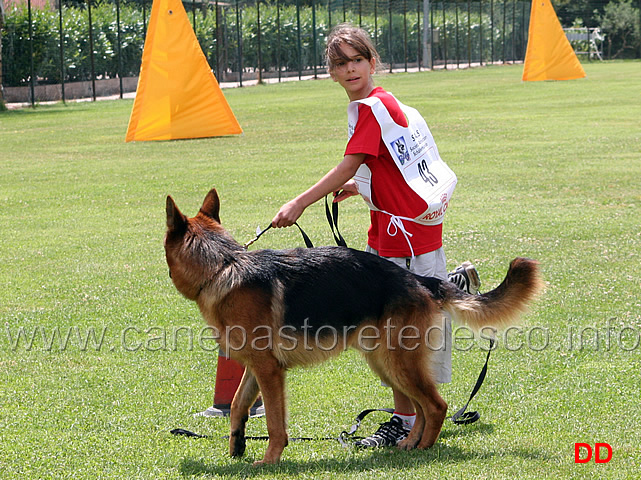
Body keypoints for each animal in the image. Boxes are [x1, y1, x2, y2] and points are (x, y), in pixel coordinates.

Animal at [162, 188, 544, 464]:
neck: (222, 266)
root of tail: (419, 280)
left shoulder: (269, 372)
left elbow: (273, 422)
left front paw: (269, 460)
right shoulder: (256, 368)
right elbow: (238, 406)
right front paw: (237, 447)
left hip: (397, 362)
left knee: (436, 405)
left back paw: (423, 449)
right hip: (386, 363)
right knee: (420, 407)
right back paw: (409, 442)